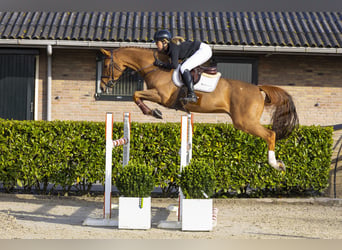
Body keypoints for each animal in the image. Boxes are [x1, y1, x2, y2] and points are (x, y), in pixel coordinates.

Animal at [99, 47, 296, 172]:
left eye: (107, 65)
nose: (102, 87)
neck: (155, 67)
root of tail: (258, 88)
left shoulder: (161, 96)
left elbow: (135, 94)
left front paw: (153, 112)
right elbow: (137, 95)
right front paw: (153, 112)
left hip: (245, 122)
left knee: (270, 135)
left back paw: (276, 164)